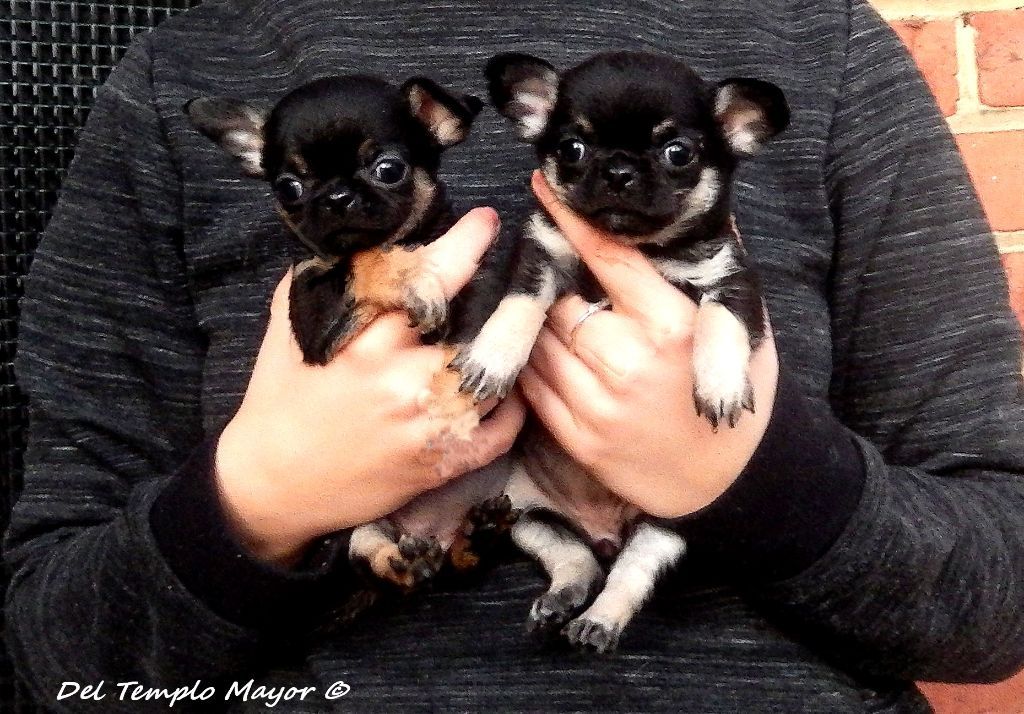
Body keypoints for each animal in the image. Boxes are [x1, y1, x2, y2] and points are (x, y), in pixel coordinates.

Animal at [186, 73, 512, 594]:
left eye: (389, 169)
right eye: (289, 187)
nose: (337, 197)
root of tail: (434, 535)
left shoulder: (484, 279)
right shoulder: (314, 314)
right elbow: (362, 259)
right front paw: (409, 278)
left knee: (465, 562)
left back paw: (480, 537)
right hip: (357, 530)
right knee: (373, 557)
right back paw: (405, 561)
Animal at [464, 50, 790, 651]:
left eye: (678, 153)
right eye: (572, 148)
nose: (618, 170)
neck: (639, 248)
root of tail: (605, 531)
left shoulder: (731, 282)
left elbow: (720, 321)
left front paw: (720, 382)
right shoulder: (542, 254)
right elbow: (519, 303)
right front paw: (493, 357)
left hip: (664, 531)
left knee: (628, 575)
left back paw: (599, 620)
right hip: (529, 518)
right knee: (577, 561)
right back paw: (562, 600)